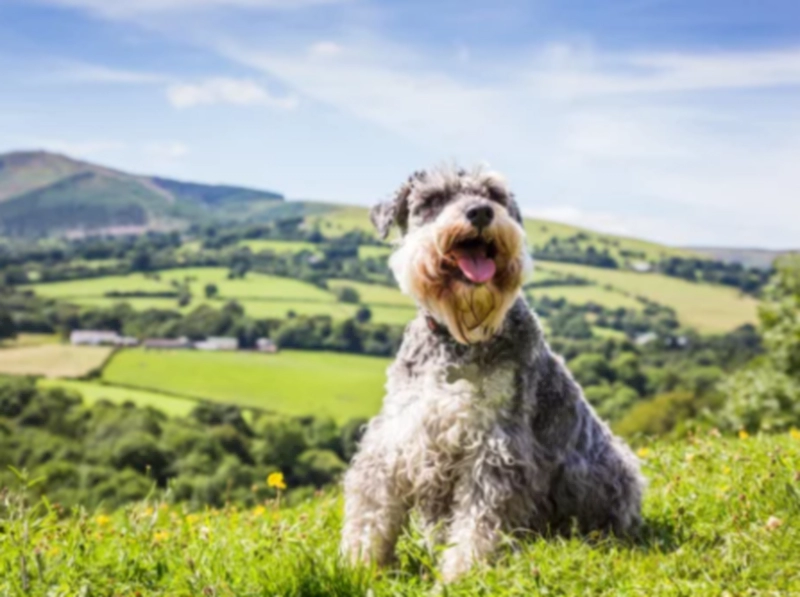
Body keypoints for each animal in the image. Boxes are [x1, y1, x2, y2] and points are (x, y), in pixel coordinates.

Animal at [340, 165, 644, 580]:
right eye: (434, 198)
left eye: (494, 195)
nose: (481, 212)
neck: (459, 340)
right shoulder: (396, 436)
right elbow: (370, 508)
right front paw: (357, 565)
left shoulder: (496, 447)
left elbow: (478, 523)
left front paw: (460, 575)